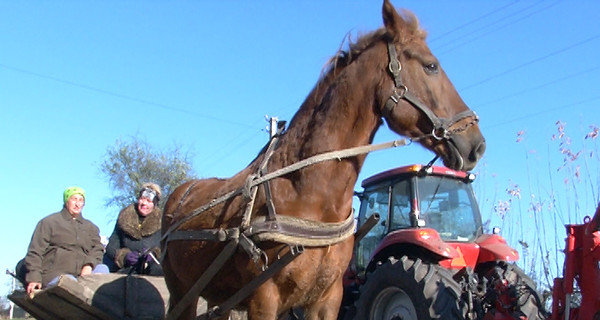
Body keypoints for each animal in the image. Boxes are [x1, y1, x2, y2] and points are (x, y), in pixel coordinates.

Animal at [162, 0, 486, 320]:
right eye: (431, 66)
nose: (477, 144)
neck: (308, 193)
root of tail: (179, 194)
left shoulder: (328, 298)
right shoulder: (263, 299)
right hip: (181, 294)